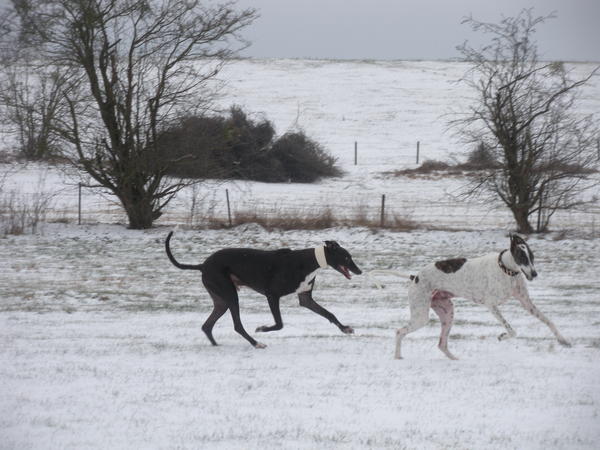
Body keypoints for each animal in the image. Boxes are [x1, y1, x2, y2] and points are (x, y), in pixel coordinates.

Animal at [164, 232, 360, 348]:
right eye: (346, 257)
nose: (360, 271)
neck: (308, 261)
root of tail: (202, 265)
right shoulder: (272, 295)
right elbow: (279, 324)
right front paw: (262, 328)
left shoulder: (305, 298)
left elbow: (329, 314)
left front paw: (345, 328)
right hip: (230, 294)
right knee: (237, 325)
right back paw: (256, 342)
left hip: (221, 300)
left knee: (207, 325)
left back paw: (216, 345)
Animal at [380, 236, 572, 358]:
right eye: (522, 257)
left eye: (532, 257)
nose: (534, 274)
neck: (506, 270)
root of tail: (415, 276)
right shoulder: (491, 305)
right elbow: (512, 330)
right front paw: (502, 336)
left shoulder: (526, 302)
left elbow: (548, 321)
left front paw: (563, 340)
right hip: (421, 316)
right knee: (399, 331)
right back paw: (397, 357)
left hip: (447, 313)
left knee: (441, 344)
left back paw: (455, 359)